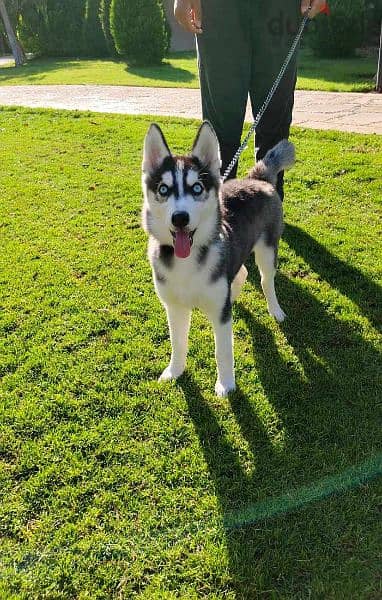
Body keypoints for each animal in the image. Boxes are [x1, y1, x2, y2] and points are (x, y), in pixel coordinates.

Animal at [142, 120, 294, 398]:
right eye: (163, 189)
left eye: (197, 188)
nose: (180, 218)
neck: (187, 263)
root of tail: (256, 178)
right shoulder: (174, 306)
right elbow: (177, 343)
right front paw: (175, 371)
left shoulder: (221, 318)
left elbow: (223, 351)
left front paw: (226, 385)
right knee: (241, 273)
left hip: (267, 250)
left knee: (266, 281)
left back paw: (275, 310)